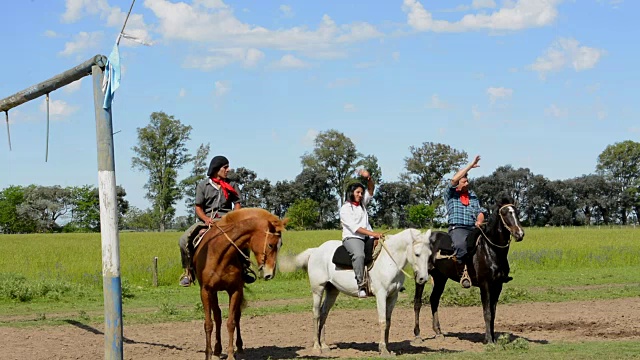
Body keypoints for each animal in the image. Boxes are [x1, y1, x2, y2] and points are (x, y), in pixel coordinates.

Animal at [192, 208, 288, 360]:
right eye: (270, 245)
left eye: (281, 245)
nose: (270, 274)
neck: (219, 252)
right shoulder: (206, 291)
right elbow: (209, 323)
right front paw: (208, 354)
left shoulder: (235, 290)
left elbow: (231, 322)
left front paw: (231, 354)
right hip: (214, 292)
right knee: (217, 317)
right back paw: (217, 350)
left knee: (236, 316)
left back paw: (239, 347)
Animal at [298, 228, 432, 354]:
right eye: (417, 254)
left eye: (430, 254)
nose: (423, 278)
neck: (389, 260)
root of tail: (315, 250)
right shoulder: (381, 295)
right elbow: (382, 321)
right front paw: (383, 350)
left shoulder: (393, 296)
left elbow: (388, 322)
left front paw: (387, 348)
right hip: (318, 289)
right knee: (316, 314)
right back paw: (317, 347)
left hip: (332, 291)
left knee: (324, 313)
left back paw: (324, 346)